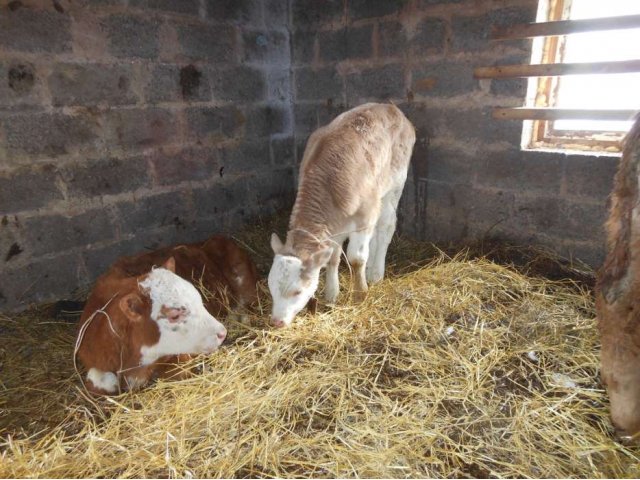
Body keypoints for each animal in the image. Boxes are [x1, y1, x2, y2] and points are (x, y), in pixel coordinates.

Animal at [268, 101, 416, 326]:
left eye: (297, 291)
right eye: (270, 287)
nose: (277, 322)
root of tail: (389, 107)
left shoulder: (364, 217)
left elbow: (356, 258)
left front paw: (360, 294)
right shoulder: (335, 227)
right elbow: (332, 258)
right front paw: (331, 293)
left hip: (394, 186)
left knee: (386, 226)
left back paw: (375, 273)